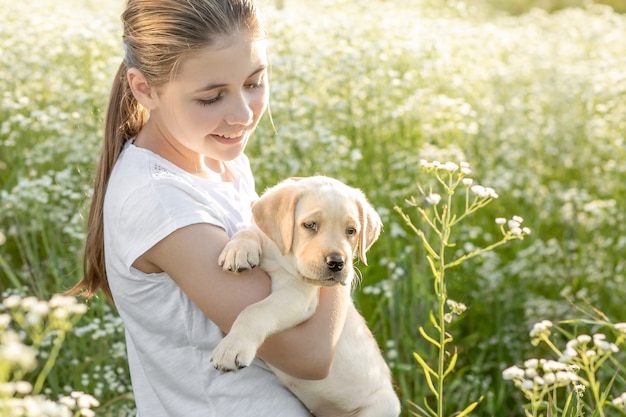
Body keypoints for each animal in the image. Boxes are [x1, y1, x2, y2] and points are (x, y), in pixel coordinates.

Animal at [213, 176, 400, 416]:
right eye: (310, 225)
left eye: (351, 231)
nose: (337, 263)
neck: (280, 256)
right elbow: (250, 231)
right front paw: (238, 250)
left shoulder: (299, 296)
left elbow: (255, 311)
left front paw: (233, 347)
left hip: (380, 407)